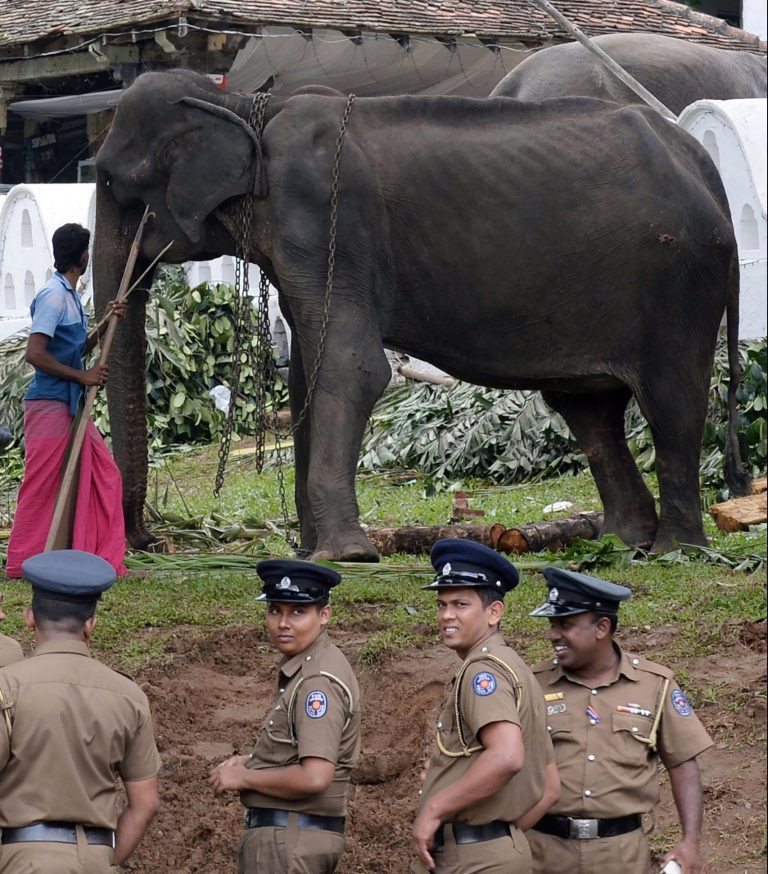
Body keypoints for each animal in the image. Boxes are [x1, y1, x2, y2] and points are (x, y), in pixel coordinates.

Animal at [91, 68, 752, 560]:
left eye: (113, 181)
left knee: (672, 403)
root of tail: (702, 162)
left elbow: (352, 367)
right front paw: (309, 555)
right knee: (590, 411)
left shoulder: (323, 216)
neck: (248, 104)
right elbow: (308, 376)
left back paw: (674, 550)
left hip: (681, 281)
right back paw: (621, 542)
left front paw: (344, 556)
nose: (148, 539)